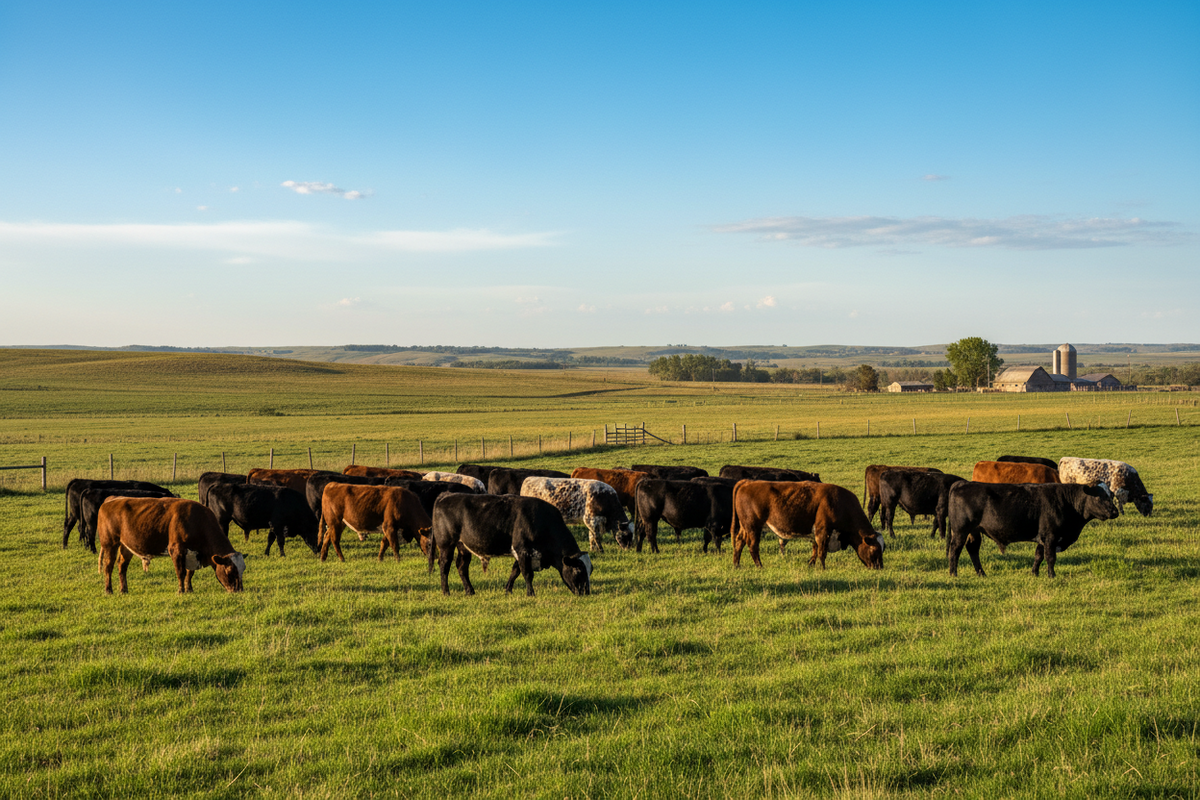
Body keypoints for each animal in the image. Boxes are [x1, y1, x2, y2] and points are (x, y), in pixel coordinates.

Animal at [96, 497, 245, 594]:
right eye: (230, 571)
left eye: (242, 570)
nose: (239, 590)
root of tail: (111, 500)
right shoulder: (176, 549)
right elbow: (181, 572)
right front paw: (181, 591)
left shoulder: (192, 554)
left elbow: (190, 573)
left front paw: (189, 589)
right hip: (110, 543)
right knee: (108, 566)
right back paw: (108, 590)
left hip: (126, 546)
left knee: (122, 566)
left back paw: (124, 590)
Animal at [430, 493, 592, 597]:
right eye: (578, 570)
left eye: (591, 570)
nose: (586, 592)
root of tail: (445, 495)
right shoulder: (523, 550)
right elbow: (527, 574)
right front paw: (530, 593)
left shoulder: (520, 552)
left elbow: (515, 571)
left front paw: (508, 590)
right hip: (446, 545)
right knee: (444, 565)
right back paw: (446, 592)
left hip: (463, 546)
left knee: (462, 567)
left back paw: (470, 591)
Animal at [730, 480, 884, 570]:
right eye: (875, 550)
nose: (880, 567)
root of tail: (748, 482)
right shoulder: (823, 531)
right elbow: (822, 551)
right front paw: (823, 568)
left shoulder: (817, 532)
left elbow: (815, 549)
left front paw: (811, 565)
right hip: (753, 527)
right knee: (752, 546)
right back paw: (759, 566)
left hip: (745, 527)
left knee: (739, 542)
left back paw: (737, 565)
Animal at [947, 482, 1119, 578]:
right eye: (1099, 496)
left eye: (1111, 496)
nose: (1115, 512)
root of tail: (961, 483)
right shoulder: (1051, 536)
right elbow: (1050, 558)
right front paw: (1051, 575)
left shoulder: (1042, 538)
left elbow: (1038, 556)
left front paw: (1034, 573)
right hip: (961, 531)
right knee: (955, 550)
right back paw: (953, 573)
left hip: (974, 531)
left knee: (972, 550)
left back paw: (981, 573)